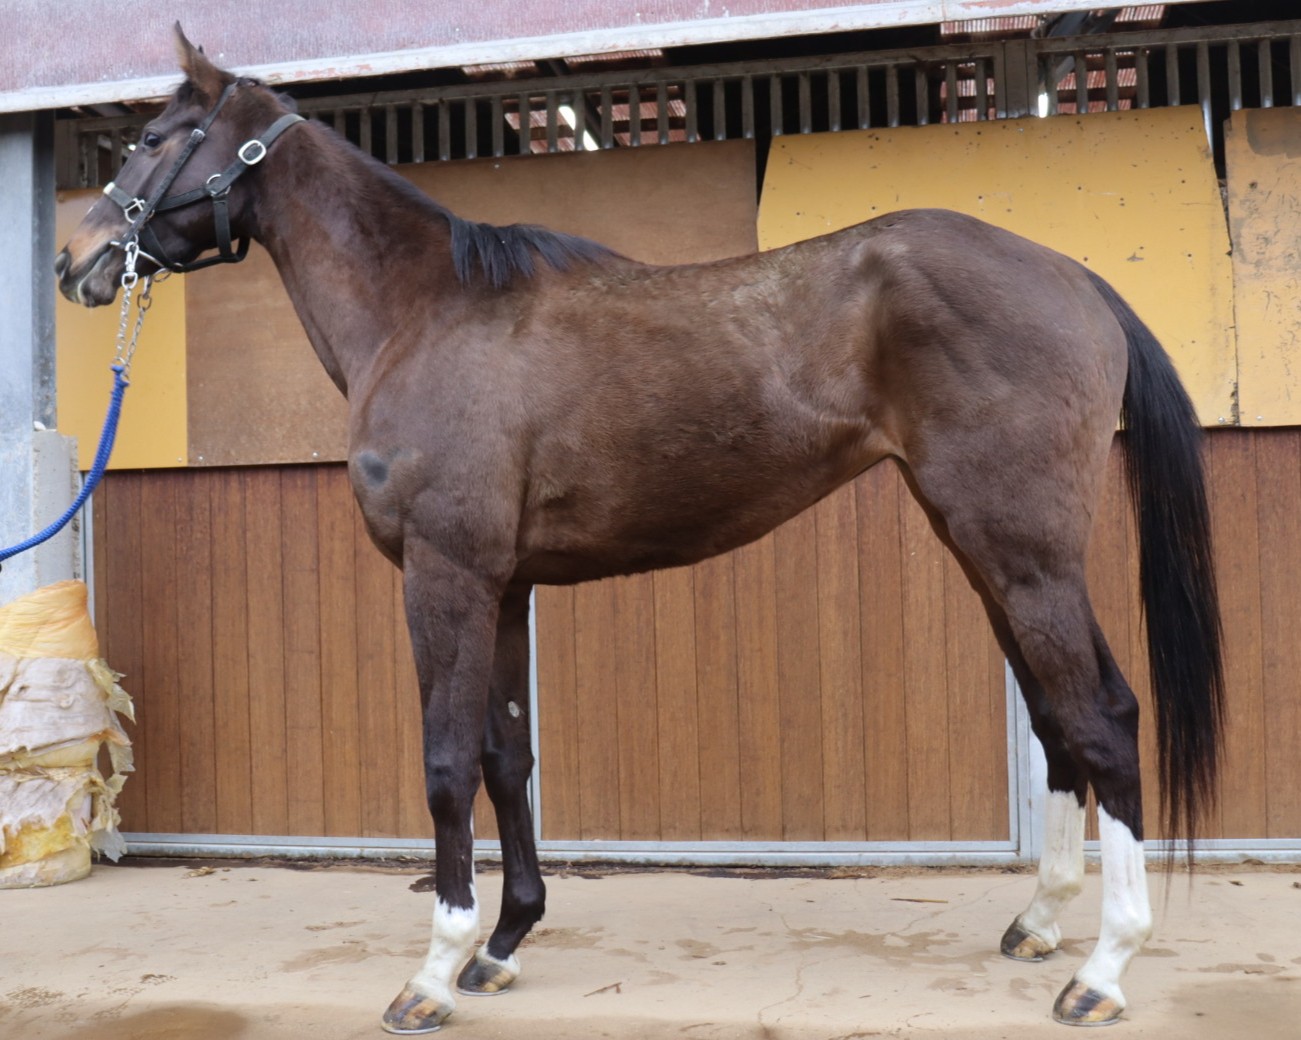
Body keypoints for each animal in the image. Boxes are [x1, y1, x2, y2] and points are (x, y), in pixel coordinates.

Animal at [56, 27, 1223, 1033]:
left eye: (155, 138)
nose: (76, 259)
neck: (426, 314)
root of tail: (1073, 276)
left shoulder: (445, 575)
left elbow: (445, 761)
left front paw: (433, 969)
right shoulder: (505, 584)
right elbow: (506, 754)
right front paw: (503, 942)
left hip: (1022, 552)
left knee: (1104, 715)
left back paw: (1102, 968)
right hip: (983, 548)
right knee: (1056, 717)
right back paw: (1039, 922)